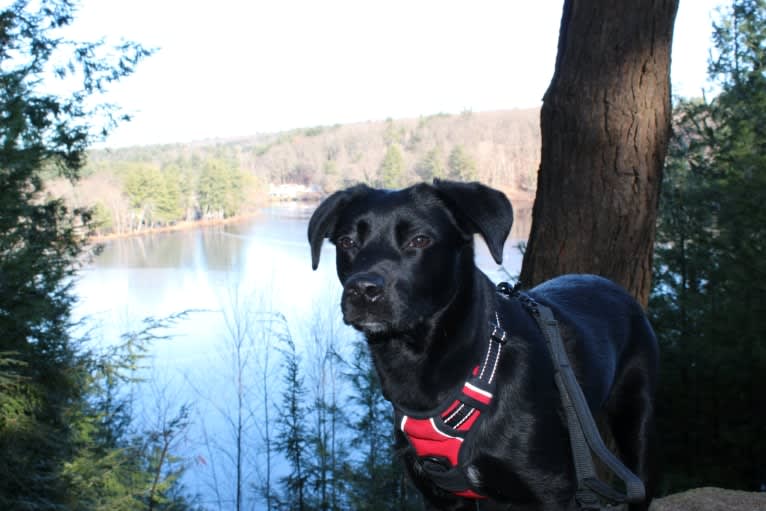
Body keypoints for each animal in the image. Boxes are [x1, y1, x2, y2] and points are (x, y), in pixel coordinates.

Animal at [308, 181, 656, 511]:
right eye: (347, 243)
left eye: (419, 240)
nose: (363, 290)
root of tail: (614, 287)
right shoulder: (442, 497)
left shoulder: (551, 491)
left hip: (634, 418)